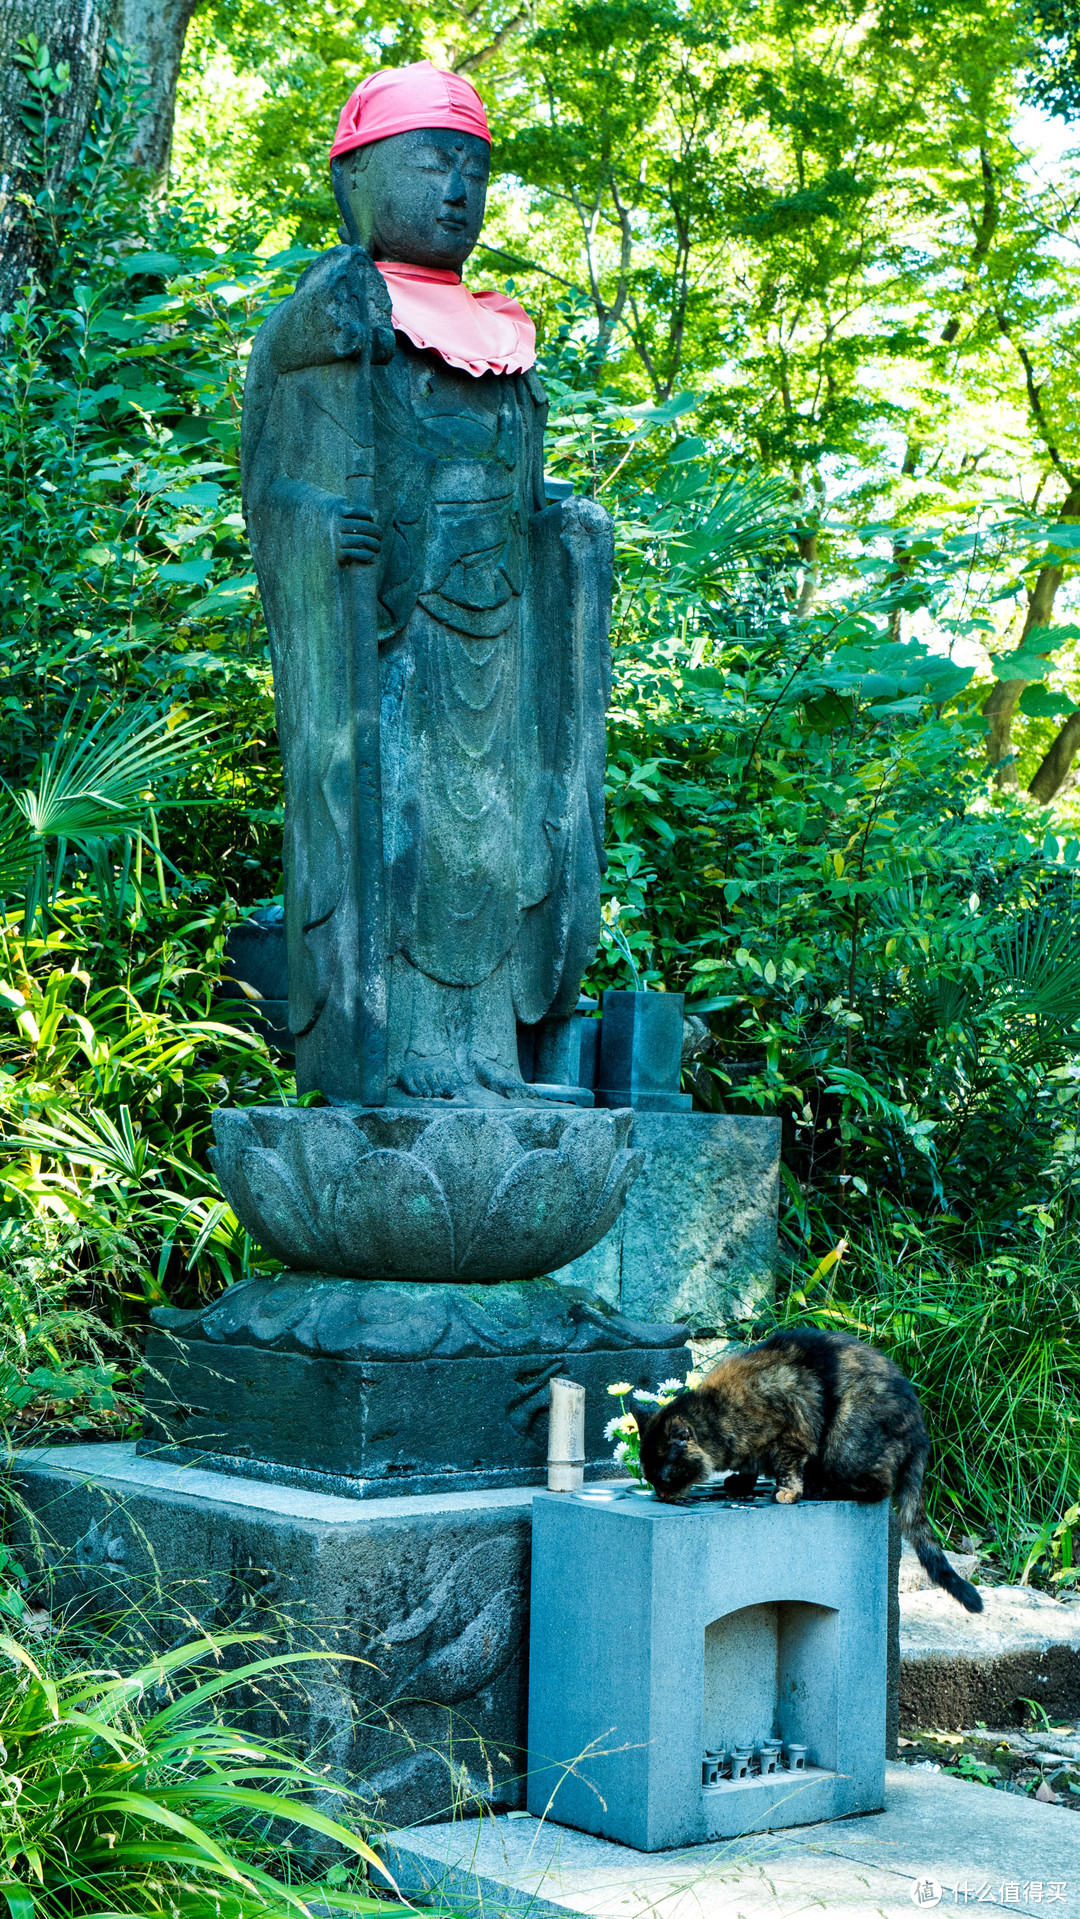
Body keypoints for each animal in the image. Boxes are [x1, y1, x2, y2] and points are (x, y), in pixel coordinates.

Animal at [636, 1327, 982, 1611]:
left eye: (665, 1477)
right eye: (650, 1479)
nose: (660, 1495)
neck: (720, 1412)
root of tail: (920, 1426)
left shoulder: (792, 1431)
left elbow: (787, 1467)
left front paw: (786, 1493)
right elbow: (749, 1468)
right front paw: (741, 1483)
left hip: (846, 1436)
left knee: (879, 1487)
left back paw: (820, 1489)